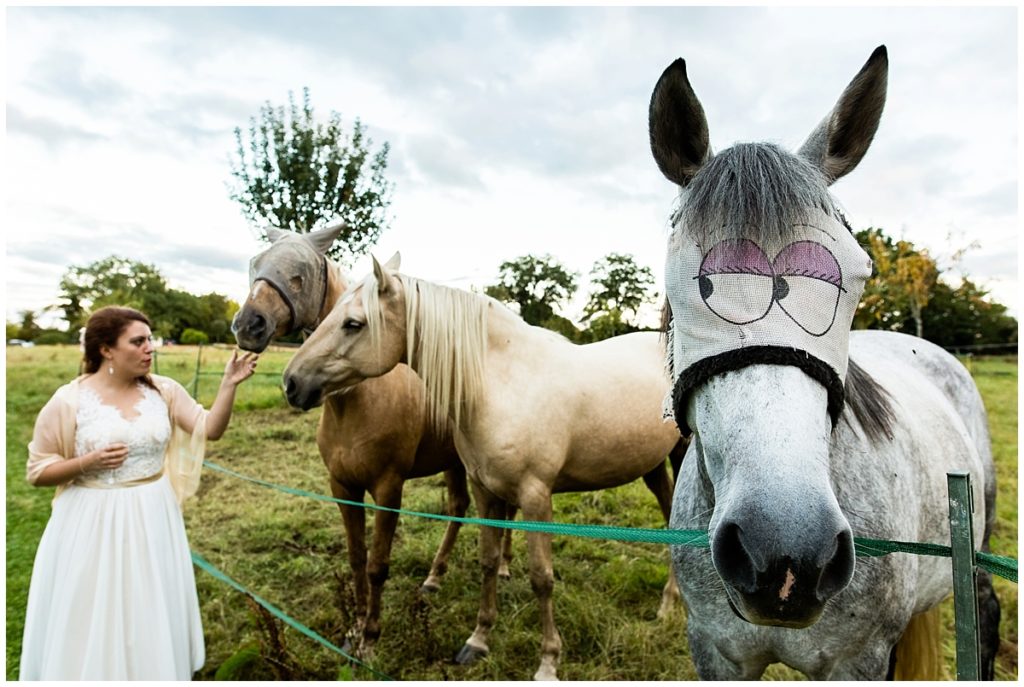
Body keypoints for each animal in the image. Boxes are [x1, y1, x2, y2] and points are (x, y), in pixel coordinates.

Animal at [232, 225, 512, 655]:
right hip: (453, 462)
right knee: (458, 507)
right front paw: (354, 630)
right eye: (255, 263)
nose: (249, 325)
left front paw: (371, 637)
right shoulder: (343, 487)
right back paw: (435, 577)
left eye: (299, 273)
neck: (355, 400)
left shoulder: (388, 488)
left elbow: (378, 565)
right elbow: (356, 558)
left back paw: (505, 565)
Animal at [282, 254, 688, 679]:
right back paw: (668, 603)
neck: (502, 383)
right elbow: (488, 562)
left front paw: (548, 662)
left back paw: (667, 606)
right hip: (652, 466)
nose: (292, 382)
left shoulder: (536, 496)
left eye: (353, 324)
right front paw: (478, 640)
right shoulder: (485, 491)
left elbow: (541, 577)